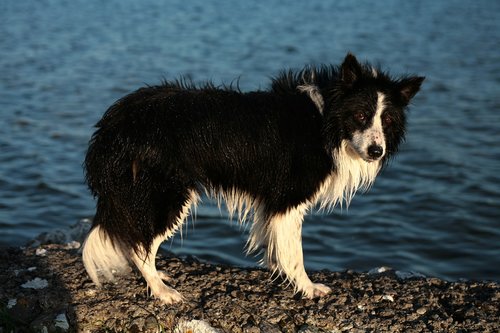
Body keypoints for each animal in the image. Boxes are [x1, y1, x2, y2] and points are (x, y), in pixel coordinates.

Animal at [83, 52, 426, 304]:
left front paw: (280, 273)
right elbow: (295, 251)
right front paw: (307, 287)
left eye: (388, 120)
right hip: (167, 192)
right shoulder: (288, 198)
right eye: (361, 115)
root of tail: (112, 125)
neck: (325, 121)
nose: (376, 151)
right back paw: (161, 289)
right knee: (140, 241)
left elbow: (277, 243)